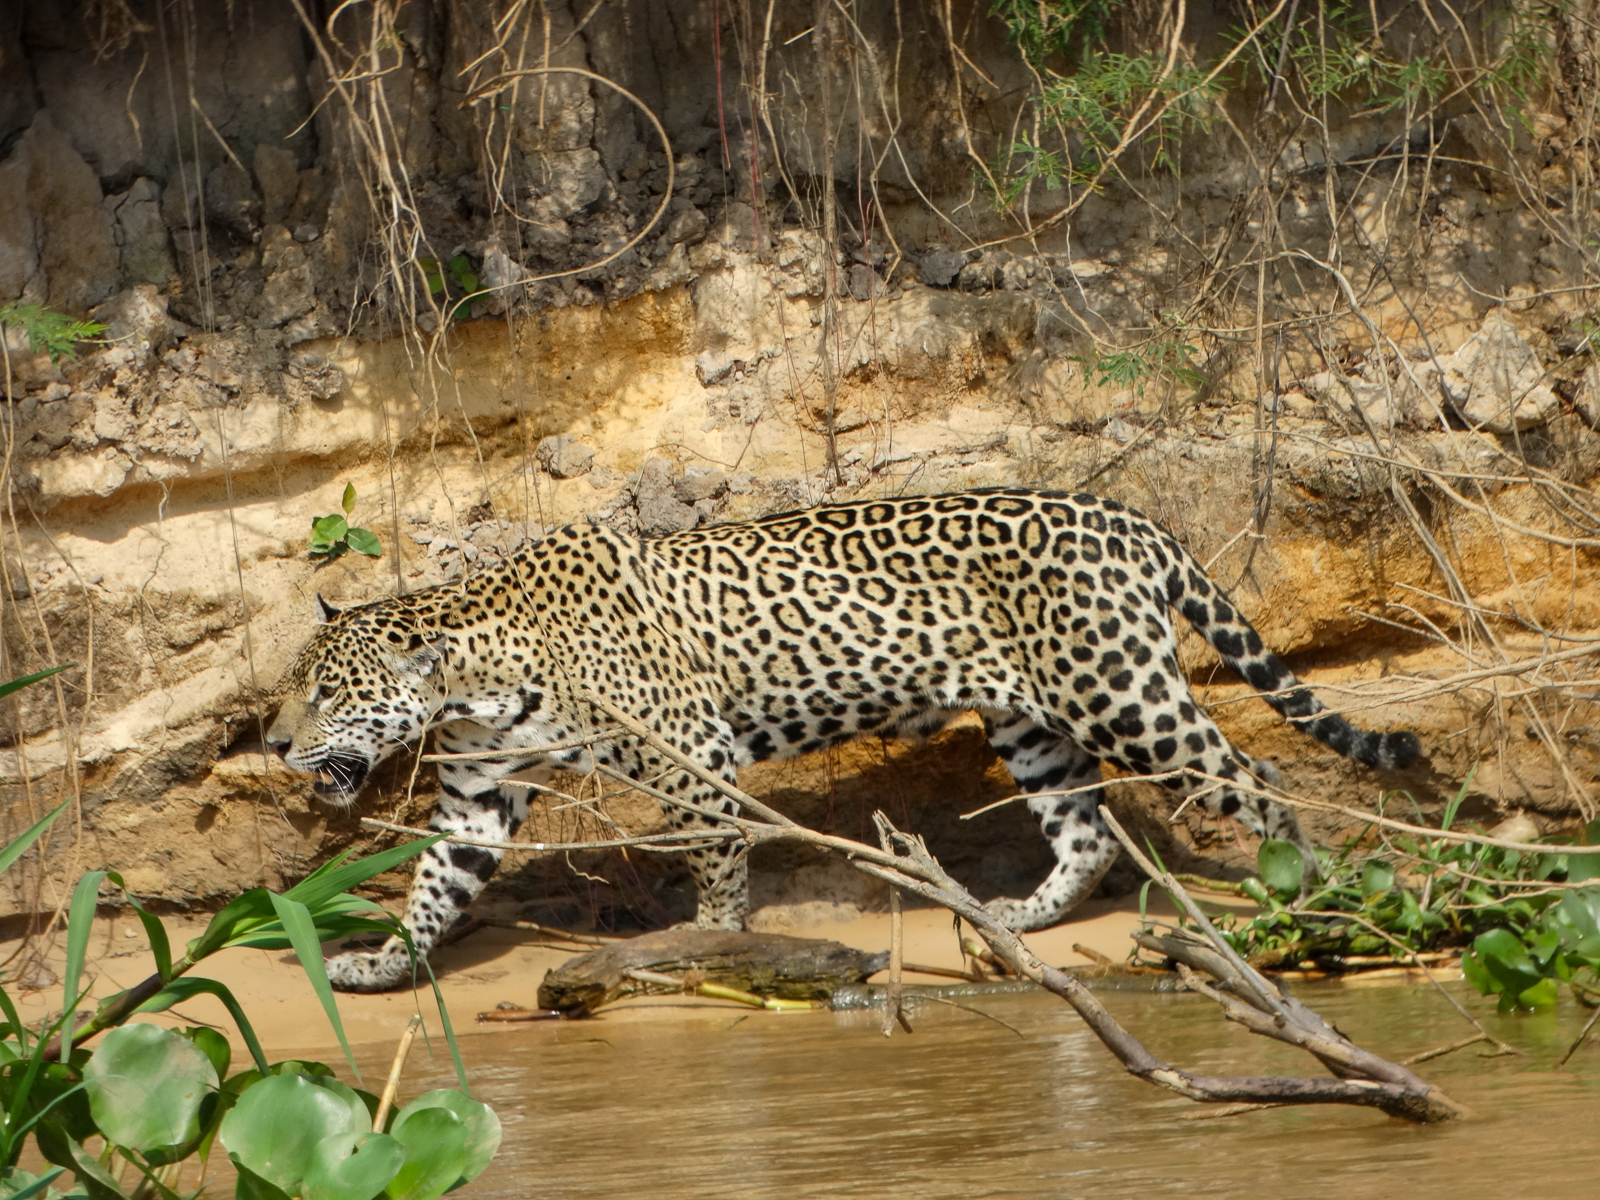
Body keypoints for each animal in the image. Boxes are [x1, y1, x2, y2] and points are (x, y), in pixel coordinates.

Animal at [266, 488, 1421, 993]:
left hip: (1119, 695)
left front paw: (711, 946)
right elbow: (437, 883)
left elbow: (717, 858)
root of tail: (1128, 518)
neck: (477, 676)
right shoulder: (476, 790)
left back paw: (1306, 894)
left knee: (1256, 773)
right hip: (1032, 718)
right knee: (1085, 829)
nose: (274, 747)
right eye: (291, 694)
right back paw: (1016, 920)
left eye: (324, 693)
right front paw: (384, 963)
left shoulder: (694, 753)